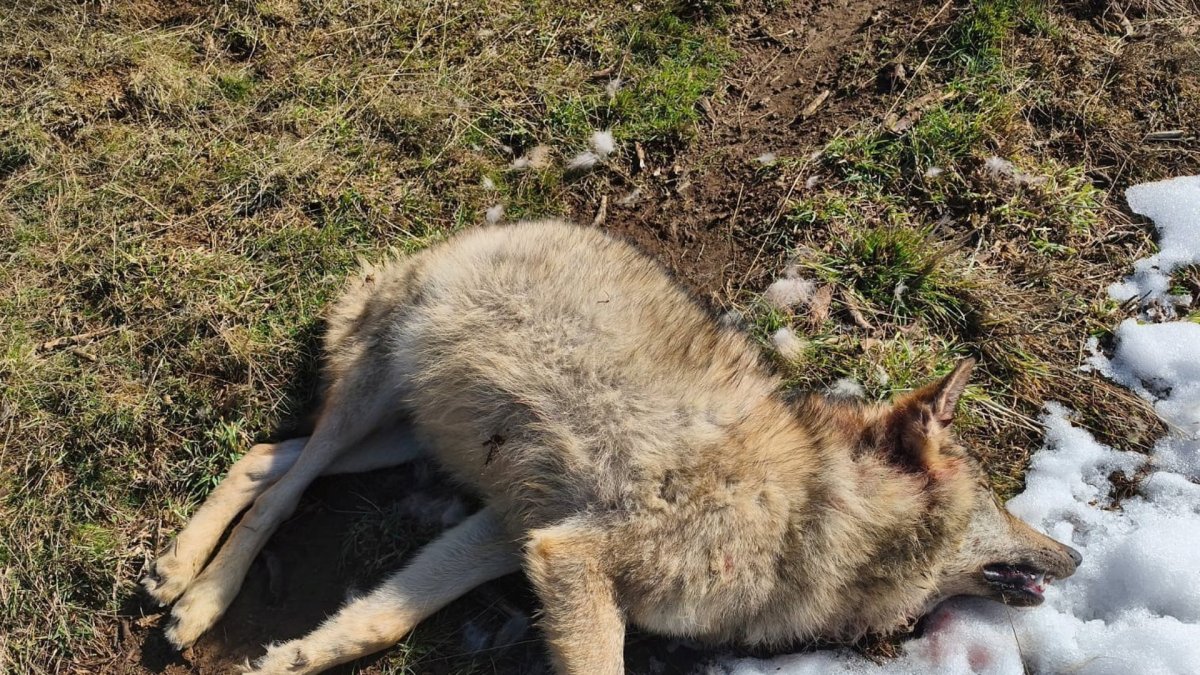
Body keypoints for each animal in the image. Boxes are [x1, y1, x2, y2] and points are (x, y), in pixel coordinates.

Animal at [141, 220, 1081, 674]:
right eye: (999, 502)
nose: (1076, 553)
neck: (807, 514)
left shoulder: (515, 533)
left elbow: (375, 621)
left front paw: (288, 659)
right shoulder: (572, 556)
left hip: (400, 437)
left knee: (262, 456)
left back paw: (179, 574)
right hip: (372, 402)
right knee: (284, 487)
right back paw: (197, 599)